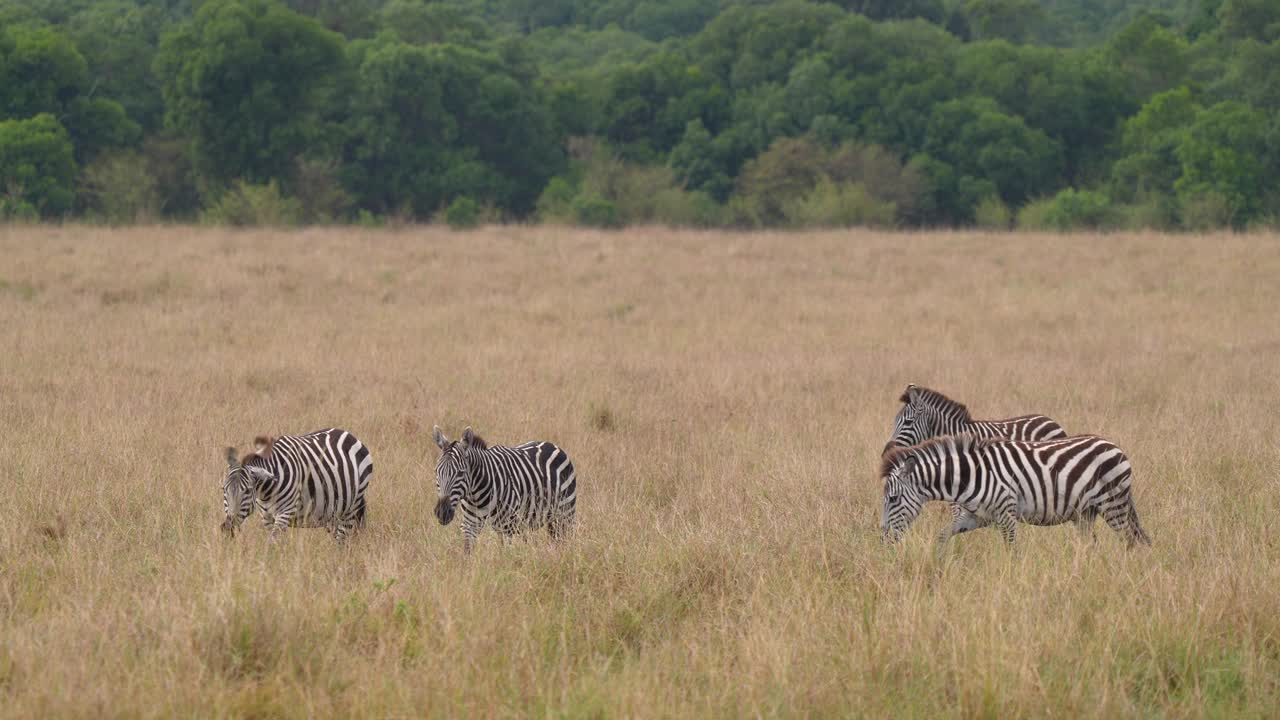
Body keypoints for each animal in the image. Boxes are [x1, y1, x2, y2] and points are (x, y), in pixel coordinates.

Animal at [218, 425, 371, 538]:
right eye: (224, 490)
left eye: (248, 491)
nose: (227, 527)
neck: (266, 492)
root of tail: (347, 434)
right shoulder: (266, 518)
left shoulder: (285, 512)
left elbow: (273, 542)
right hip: (333, 510)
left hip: (351, 507)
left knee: (343, 539)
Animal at [432, 422, 578, 550]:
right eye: (436, 471)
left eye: (460, 473)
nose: (442, 513)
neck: (476, 495)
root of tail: (552, 445)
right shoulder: (470, 524)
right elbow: (468, 552)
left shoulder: (507, 526)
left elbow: (507, 553)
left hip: (565, 512)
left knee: (564, 538)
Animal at [880, 435, 1152, 545]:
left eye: (893, 499)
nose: (884, 539)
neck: (971, 476)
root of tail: (1116, 447)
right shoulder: (977, 517)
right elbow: (943, 535)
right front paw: (938, 566)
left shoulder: (1006, 513)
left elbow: (1012, 550)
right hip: (1086, 513)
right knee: (1090, 545)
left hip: (1113, 504)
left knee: (1130, 539)